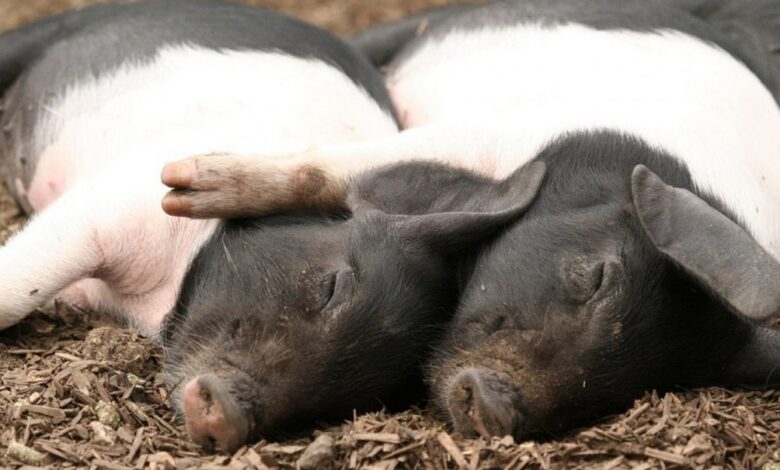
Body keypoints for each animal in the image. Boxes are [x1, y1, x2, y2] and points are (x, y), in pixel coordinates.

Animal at [0, 0, 548, 452]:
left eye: (358, 396)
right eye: (333, 287)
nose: (226, 416)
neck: (151, 299)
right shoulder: (116, 200)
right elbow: (21, 286)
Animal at [160, 0, 780, 441]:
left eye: (631, 392)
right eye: (598, 276)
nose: (495, 408)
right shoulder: (499, 133)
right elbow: (338, 171)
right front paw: (184, 187)